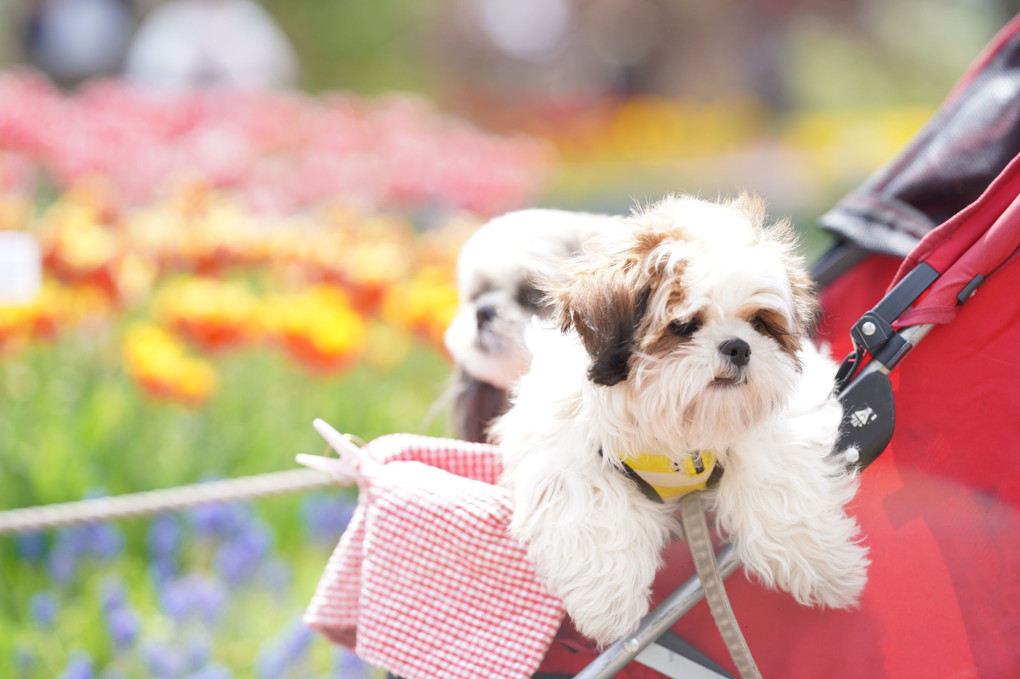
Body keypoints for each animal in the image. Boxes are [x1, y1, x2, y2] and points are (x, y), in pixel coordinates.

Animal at [493, 192, 869, 644]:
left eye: (758, 323)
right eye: (685, 325)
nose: (739, 347)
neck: (676, 431)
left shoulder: (788, 417)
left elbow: (778, 479)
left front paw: (823, 568)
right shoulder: (563, 446)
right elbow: (589, 506)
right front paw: (608, 606)